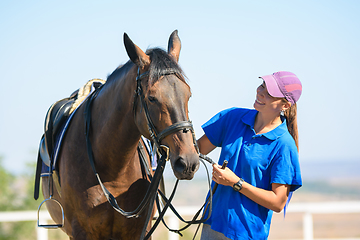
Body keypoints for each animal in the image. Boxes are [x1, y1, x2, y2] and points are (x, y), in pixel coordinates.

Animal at [41, 31, 202, 239]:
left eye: (188, 95)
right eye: (152, 98)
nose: (188, 162)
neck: (112, 171)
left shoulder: (141, 230)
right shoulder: (80, 232)